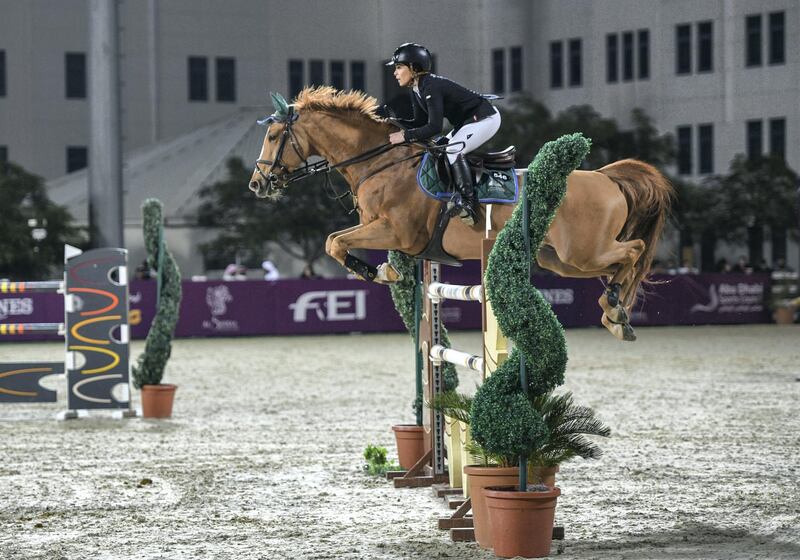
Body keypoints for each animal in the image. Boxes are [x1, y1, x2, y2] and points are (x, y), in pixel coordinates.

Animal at [247, 88, 672, 342]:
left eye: (273, 137)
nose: (257, 184)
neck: (380, 163)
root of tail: (607, 178)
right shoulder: (376, 228)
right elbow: (334, 241)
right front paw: (386, 271)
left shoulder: (397, 232)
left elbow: (334, 243)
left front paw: (378, 272)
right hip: (563, 261)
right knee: (622, 262)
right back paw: (615, 313)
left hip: (583, 251)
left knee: (634, 250)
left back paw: (616, 307)